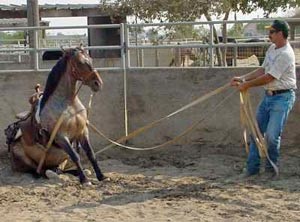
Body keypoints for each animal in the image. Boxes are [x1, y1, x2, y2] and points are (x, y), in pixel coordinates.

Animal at [4, 44, 105, 184]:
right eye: (80, 62)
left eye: (90, 59)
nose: (98, 83)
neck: (69, 105)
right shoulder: (61, 137)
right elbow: (75, 156)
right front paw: (85, 180)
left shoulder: (83, 131)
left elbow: (91, 154)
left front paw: (101, 176)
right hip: (22, 156)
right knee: (39, 171)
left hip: (62, 160)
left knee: (59, 169)